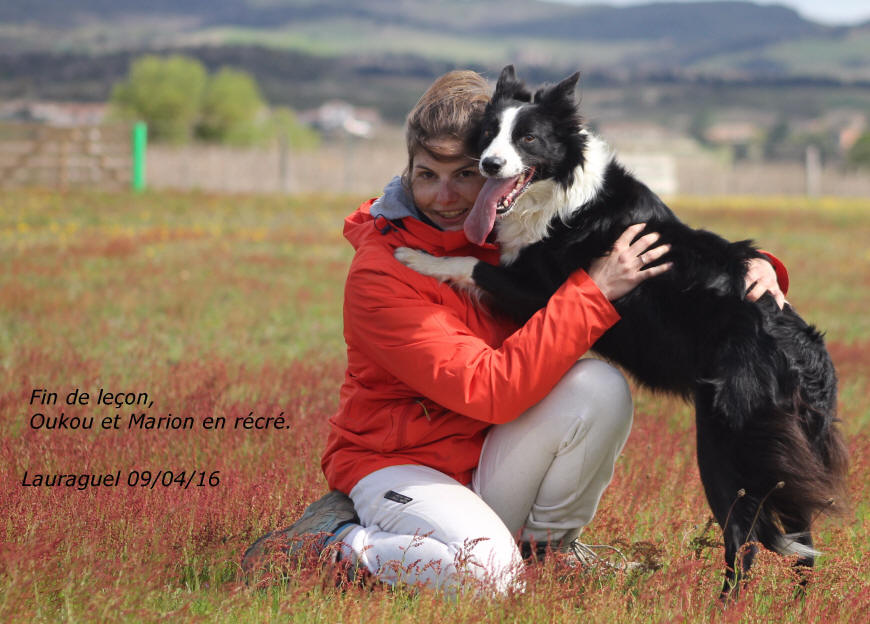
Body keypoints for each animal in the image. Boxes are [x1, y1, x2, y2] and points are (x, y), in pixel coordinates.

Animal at [396, 64, 852, 596]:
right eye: (488, 134)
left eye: (528, 138)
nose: (489, 164)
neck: (560, 194)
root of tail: (807, 355)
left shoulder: (540, 293)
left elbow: (470, 263)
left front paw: (417, 256)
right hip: (783, 452)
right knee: (802, 537)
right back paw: (796, 604)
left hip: (725, 444)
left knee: (746, 541)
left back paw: (724, 604)